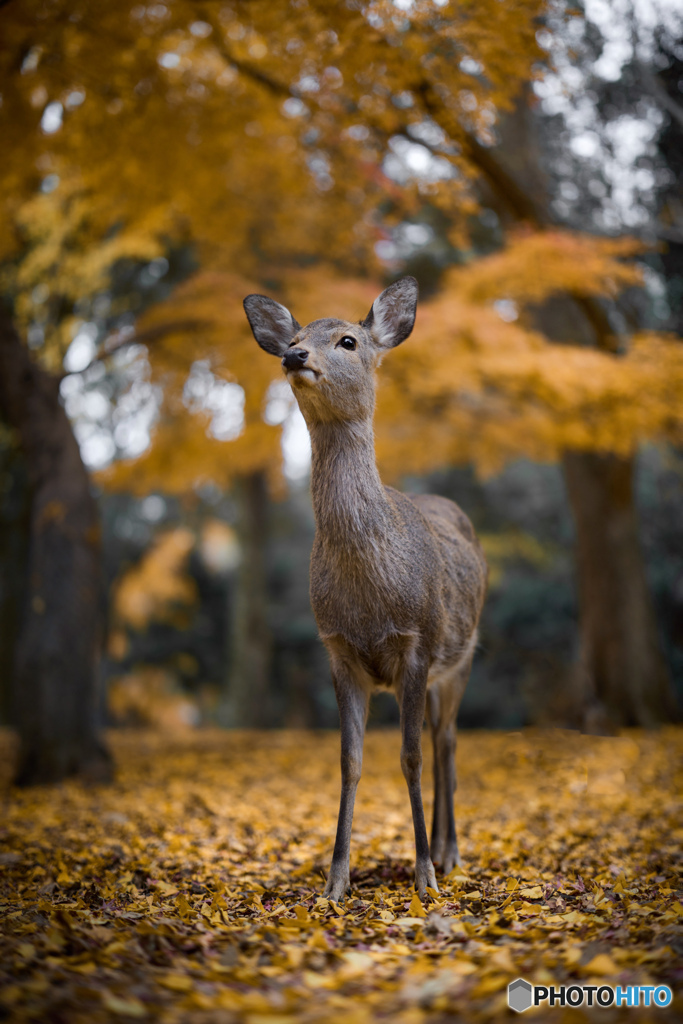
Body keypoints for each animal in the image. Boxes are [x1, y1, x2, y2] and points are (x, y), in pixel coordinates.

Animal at [242, 278, 489, 897]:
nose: (294, 356)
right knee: (440, 739)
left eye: (348, 341)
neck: (370, 600)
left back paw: (450, 854)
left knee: (446, 741)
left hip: (463, 654)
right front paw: (335, 880)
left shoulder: (417, 641)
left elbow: (410, 758)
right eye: (297, 335)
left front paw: (424, 876)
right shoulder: (338, 649)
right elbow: (349, 762)